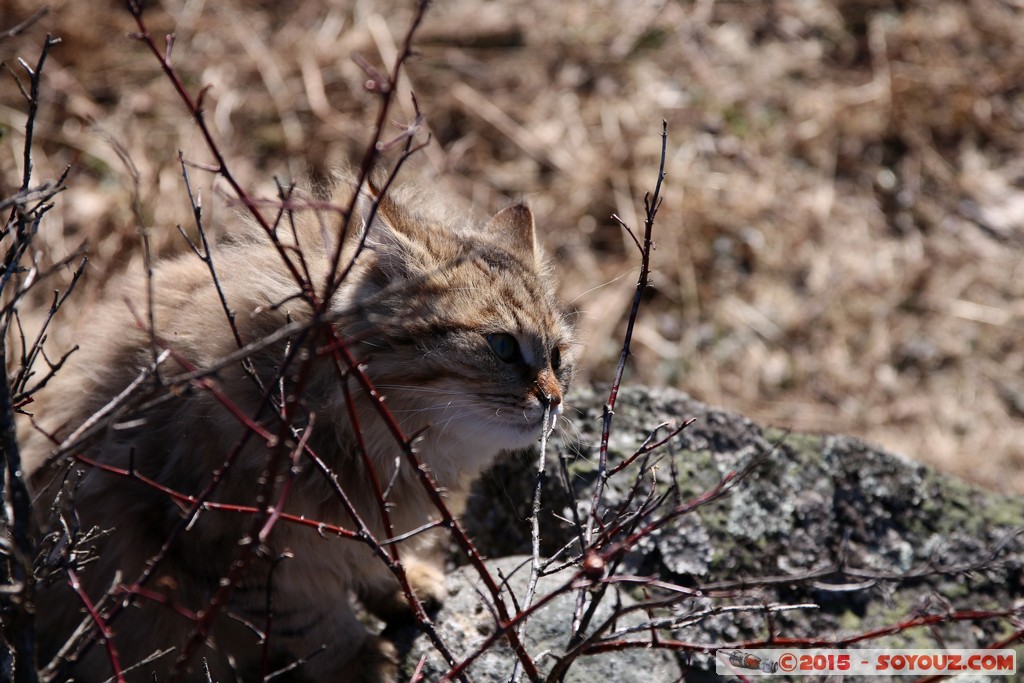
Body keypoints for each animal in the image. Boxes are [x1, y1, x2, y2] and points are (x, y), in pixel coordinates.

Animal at [22, 179, 577, 679]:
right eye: (502, 347)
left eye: (556, 356)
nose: (554, 400)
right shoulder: (225, 540)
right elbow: (313, 617)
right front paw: (363, 661)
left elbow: (375, 559)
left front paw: (408, 585)